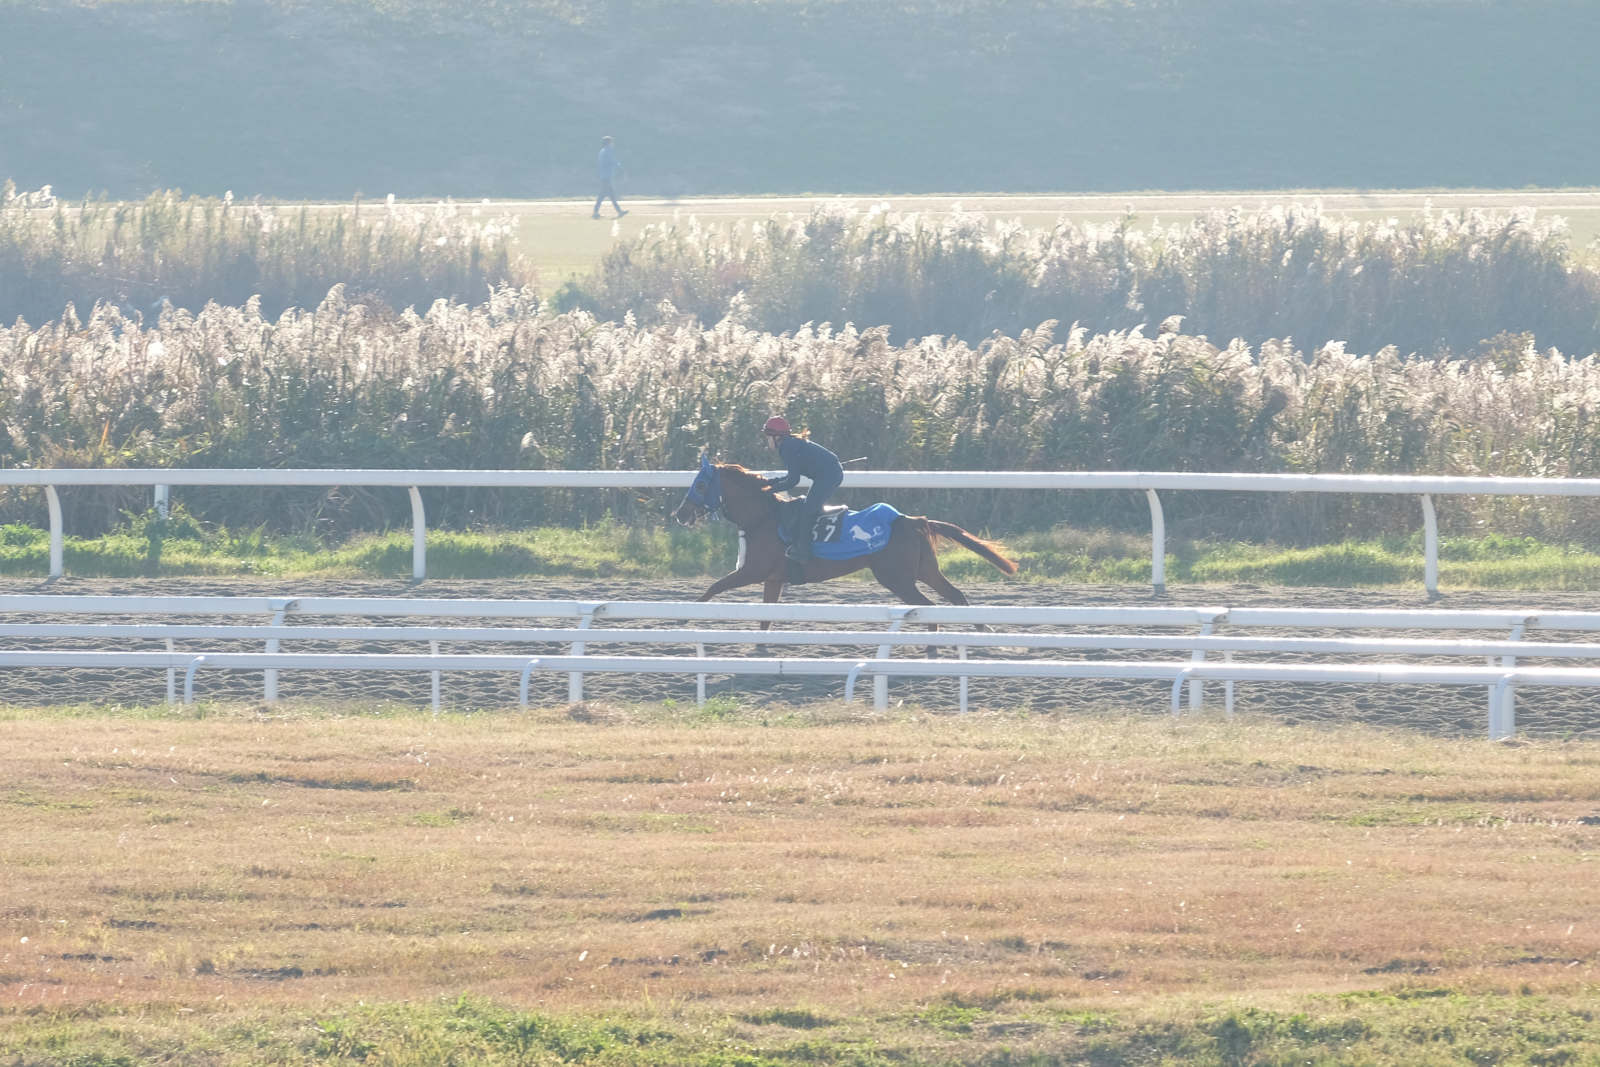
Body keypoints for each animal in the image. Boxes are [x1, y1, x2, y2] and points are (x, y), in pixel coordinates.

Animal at [672, 454, 1017, 614]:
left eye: (700, 485)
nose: (680, 514)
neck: (763, 518)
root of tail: (912, 519)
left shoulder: (753, 571)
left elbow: (713, 588)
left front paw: (685, 618)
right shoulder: (772, 578)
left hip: (897, 578)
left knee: (929, 607)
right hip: (924, 570)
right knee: (956, 596)